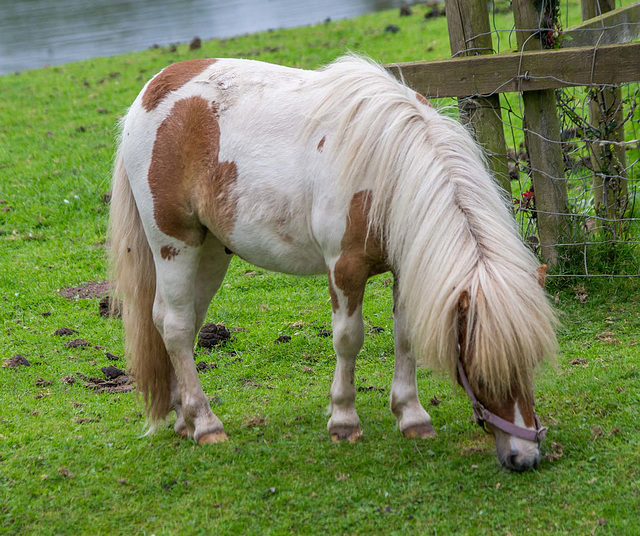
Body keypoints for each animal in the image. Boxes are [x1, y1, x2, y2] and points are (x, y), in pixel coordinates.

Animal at [109, 56, 556, 472]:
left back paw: (182, 418)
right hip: (174, 244)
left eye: (532, 362)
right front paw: (344, 421)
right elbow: (347, 339)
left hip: (212, 250)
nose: (525, 457)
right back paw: (205, 424)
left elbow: (405, 336)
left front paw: (412, 417)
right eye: (481, 375)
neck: (386, 166)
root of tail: (151, 92)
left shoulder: (402, 265)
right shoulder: (344, 268)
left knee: (179, 322)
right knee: (176, 327)